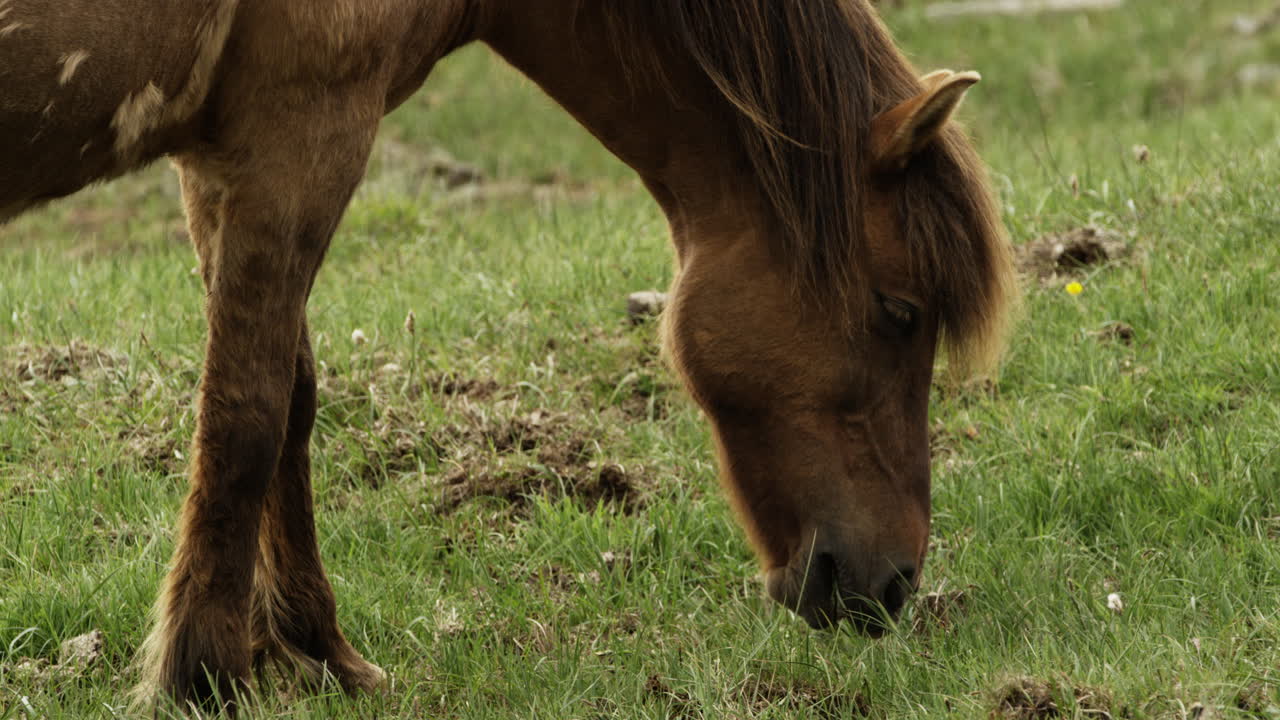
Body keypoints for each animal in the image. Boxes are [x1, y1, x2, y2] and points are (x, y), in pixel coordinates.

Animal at [0, 0, 1016, 713]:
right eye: (900, 309)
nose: (892, 584)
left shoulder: (223, 158)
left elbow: (290, 397)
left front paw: (316, 652)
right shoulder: (301, 133)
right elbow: (246, 413)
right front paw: (205, 675)